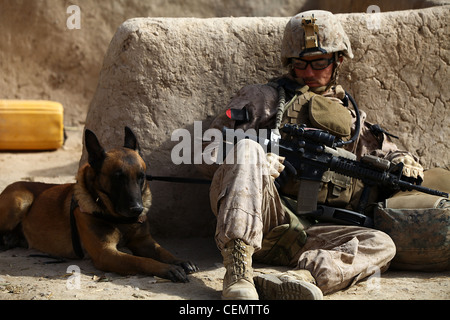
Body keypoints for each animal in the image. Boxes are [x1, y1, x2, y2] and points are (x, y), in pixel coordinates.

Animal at [0, 126, 198, 282]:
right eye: (118, 178)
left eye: (141, 176)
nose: (137, 209)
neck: (116, 216)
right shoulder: (106, 254)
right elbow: (141, 260)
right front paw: (167, 268)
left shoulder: (143, 241)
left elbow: (162, 251)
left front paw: (179, 261)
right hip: (22, 199)